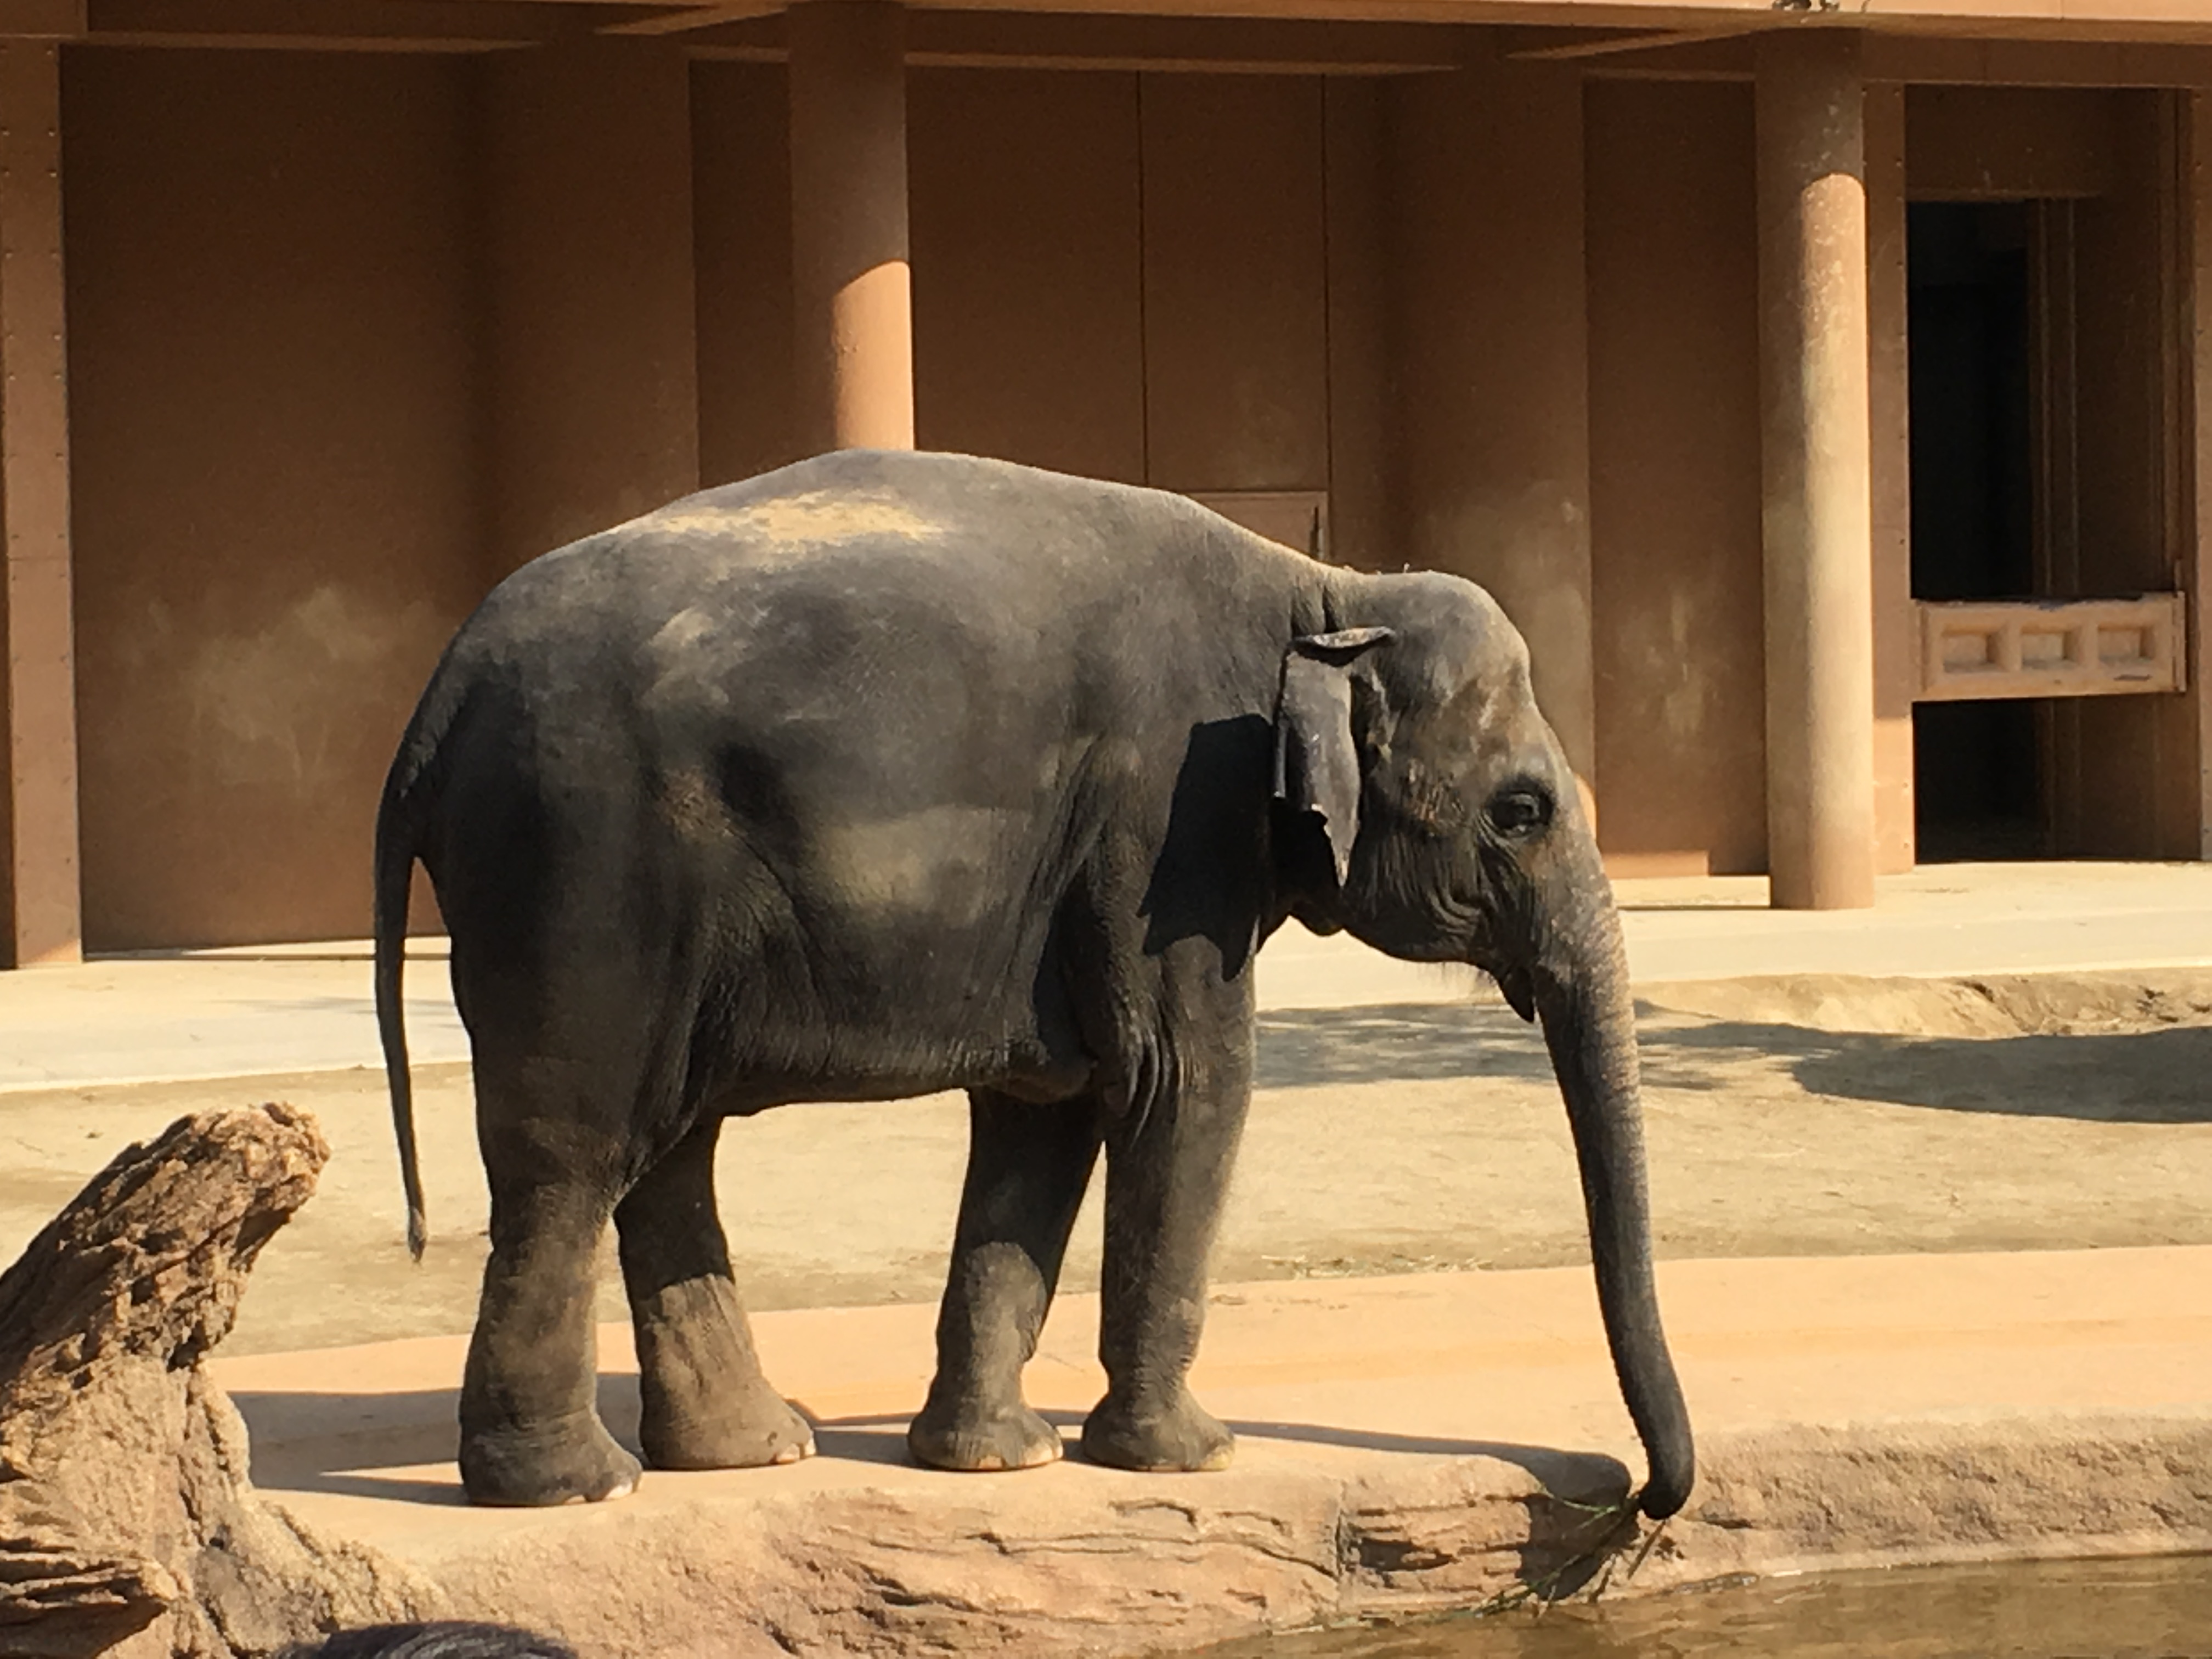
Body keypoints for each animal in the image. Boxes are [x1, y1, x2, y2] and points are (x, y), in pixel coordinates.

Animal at [376, 444, 1690, 1522]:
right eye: (1522, 811)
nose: (1634, 1501)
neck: (1322, 591)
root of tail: (438, 698)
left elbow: (1042, 1121)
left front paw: (995, 1459)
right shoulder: (1168, 824)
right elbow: (1188, 1086)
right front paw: (1190, 1455)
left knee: (668, 1149)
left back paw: (753, 1450)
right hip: (583, 866)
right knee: (577, 1157)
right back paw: (575, 1486)